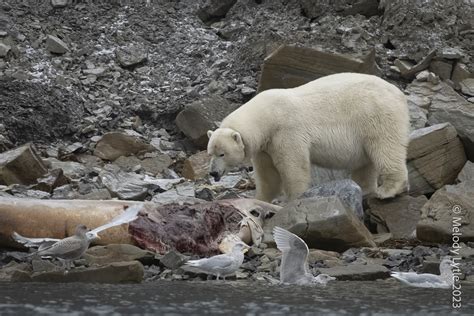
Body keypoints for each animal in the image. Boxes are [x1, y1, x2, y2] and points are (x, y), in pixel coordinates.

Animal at [207, 73, 412, 202]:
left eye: (222, 154)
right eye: (210, 153)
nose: (213, 173)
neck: (267, 115)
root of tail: (399, 93)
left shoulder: (286, 131)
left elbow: (293, 166)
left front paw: (294, 198)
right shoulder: (265, 145)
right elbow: (268, 175)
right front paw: (261, 199)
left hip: (376, 115)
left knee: (385, 147)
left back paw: (387, 190)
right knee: (366, 162)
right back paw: (364, 189)